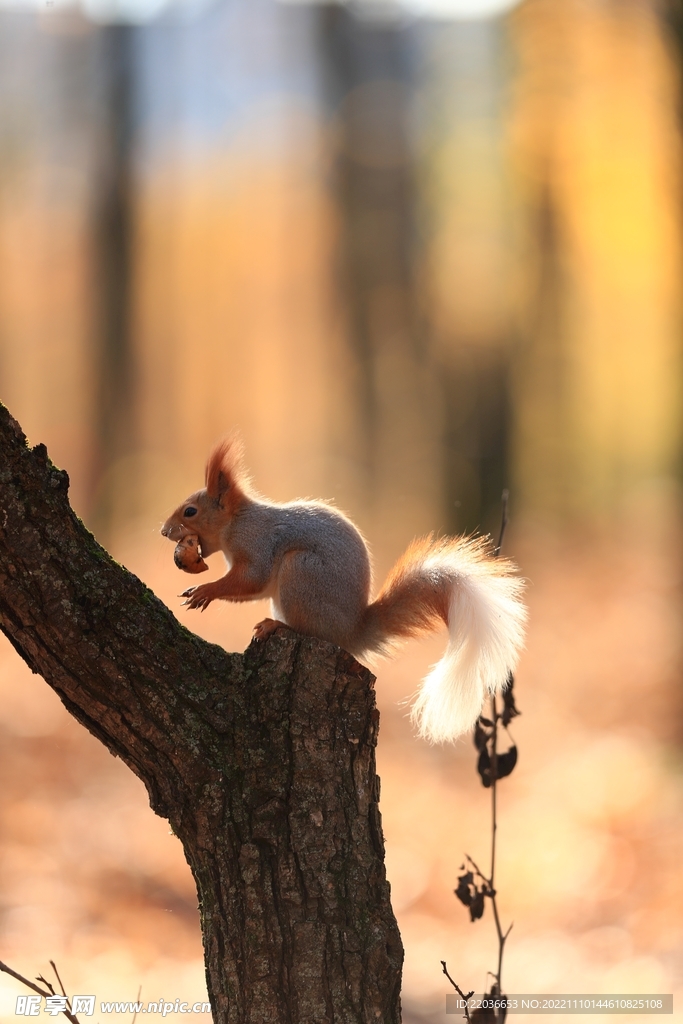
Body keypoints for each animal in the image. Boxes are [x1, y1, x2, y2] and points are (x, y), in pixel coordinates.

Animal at [162, 436, 528, 741]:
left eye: (190, 511)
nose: (164, 530)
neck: (236, 522)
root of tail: (352, 630)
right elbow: (253, 589)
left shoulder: (259, 545)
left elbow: (251, 578)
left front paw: (204, 590)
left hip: (301, 572)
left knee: (311, 632)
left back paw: (276, 626)